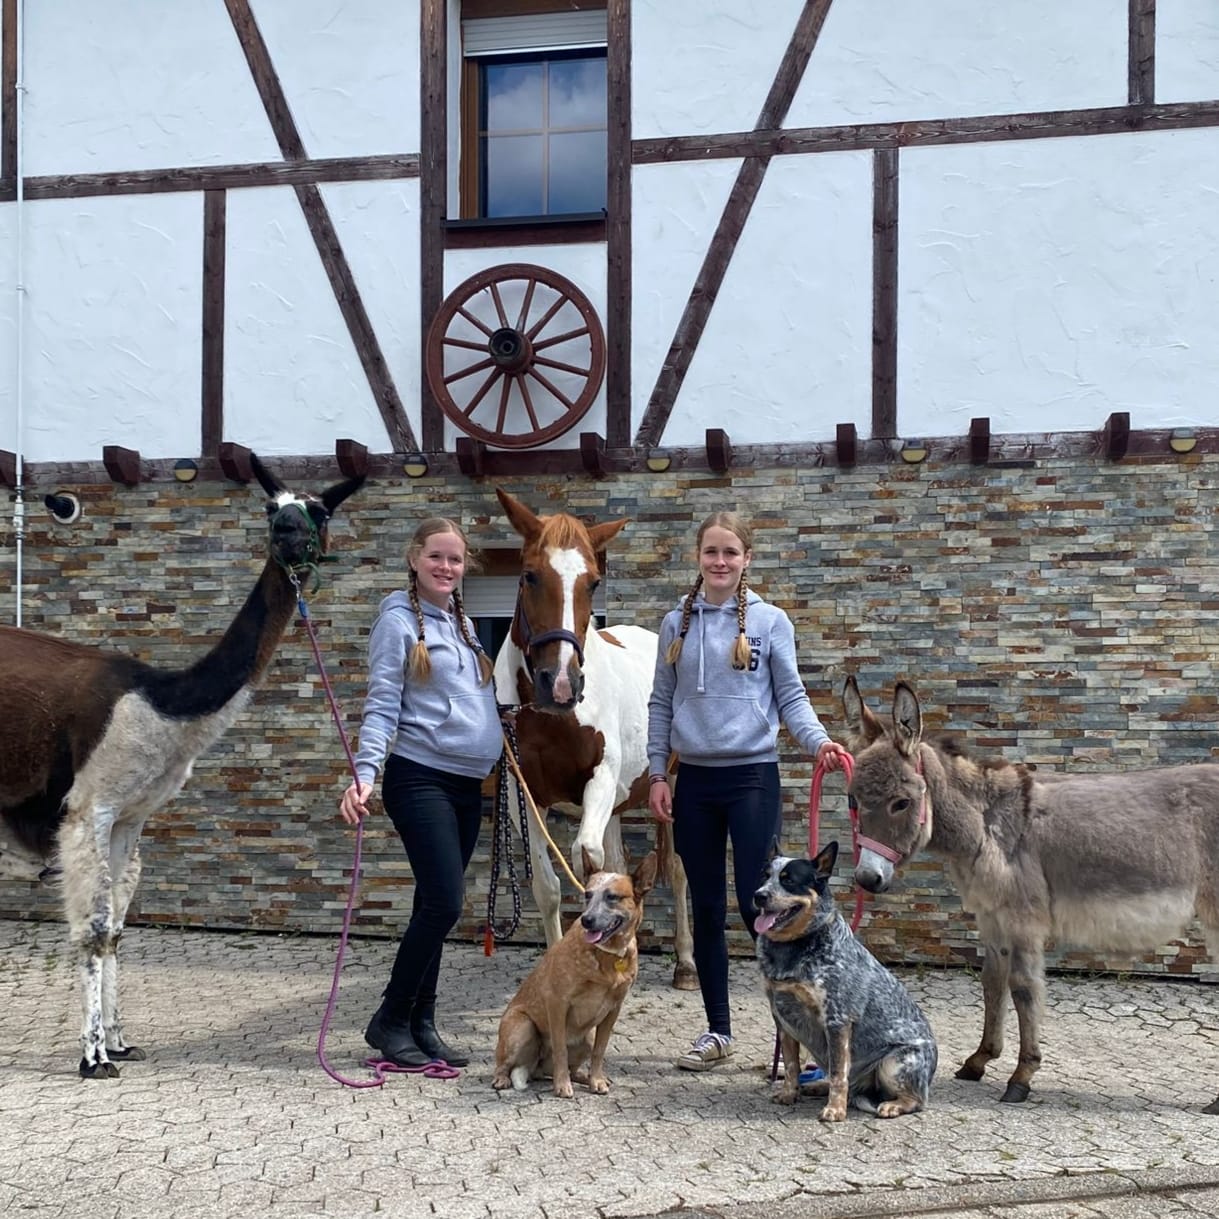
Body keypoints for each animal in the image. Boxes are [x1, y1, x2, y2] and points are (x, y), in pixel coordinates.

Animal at [492, 488, 697, 990]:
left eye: (593, 582)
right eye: (529, 575)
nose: (562, 684)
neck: (550, 718)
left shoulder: (598, 780)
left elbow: (587, 859)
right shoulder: (524, 797)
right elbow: (549, 887)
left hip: (670, 787)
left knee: (678, 868)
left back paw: (685, 964)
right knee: (621, 862)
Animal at [842, 676, 1219, 1111]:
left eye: (901, 803)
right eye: (853, 800)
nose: (867, 879)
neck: (986, 824)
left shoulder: (1023, 918)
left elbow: (1024, 987)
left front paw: (1021, 1077)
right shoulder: (990, 916)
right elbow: (992, 980)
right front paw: (979, 1060)